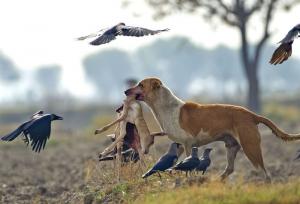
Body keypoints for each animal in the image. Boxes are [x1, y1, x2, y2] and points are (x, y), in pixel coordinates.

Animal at [125, 77, 300, 181]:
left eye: (141, 85)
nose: (126, 91)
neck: (167, 107)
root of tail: (252, 115)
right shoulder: (179, 145)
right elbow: (175, 162)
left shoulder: (188, 144)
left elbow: (189, 162)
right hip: (231, 147)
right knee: (230, 169)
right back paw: (218, 180)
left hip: (250, 147)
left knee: (264, 172)